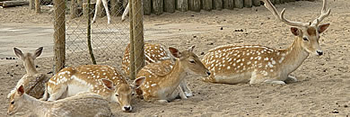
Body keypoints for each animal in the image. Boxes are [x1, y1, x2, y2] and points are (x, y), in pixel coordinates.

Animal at [200, 0, 330, 84]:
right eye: (305, 38)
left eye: (318, 36)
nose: (320, 52)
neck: (282, 66)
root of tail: (203, 58)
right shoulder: (259, 77)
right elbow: (281, 82)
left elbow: (293, 78)